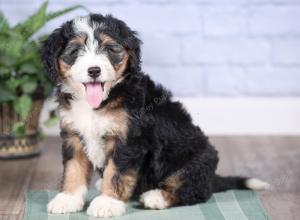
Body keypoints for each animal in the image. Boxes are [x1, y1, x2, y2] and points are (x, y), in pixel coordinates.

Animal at [40, 14, 270, 218]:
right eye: (75, 51)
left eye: (110, 49)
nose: (94, 70)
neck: (103, 99)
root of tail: (213, 177)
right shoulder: (73, 135)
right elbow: (74, 168)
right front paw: (68, 199)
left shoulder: (128, 139)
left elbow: (117, 173)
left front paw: (107, 203)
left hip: (193, 163)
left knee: (192, 191)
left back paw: (156, 197)